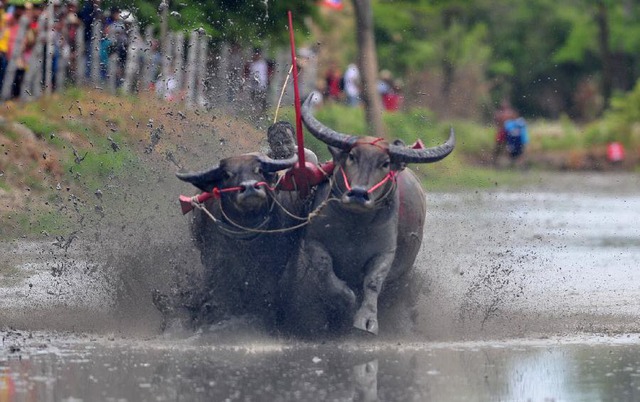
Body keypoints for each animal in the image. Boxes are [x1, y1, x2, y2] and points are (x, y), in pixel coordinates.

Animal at [280, 95, 456, 336]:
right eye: (352, 156)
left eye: (385, 163)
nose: (358, 193)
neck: (355, 226)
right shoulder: (314, 242)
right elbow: (325, 268)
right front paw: (345, 299)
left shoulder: (385, 253)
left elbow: (373, 282)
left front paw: (366, 320)